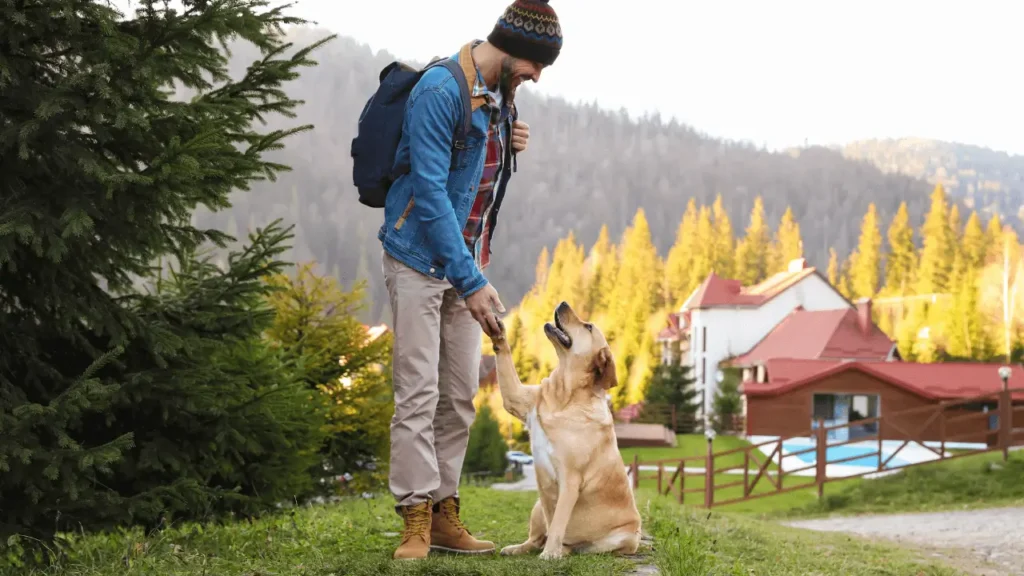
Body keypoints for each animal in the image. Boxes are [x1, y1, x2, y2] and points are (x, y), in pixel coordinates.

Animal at [487, 297, 638, 557]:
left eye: (588, 327)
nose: (564, 302)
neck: (564, 396)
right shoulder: (517, 398)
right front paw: (499, 331)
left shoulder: (570, 479)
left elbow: (558, 522)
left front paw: (550, 554)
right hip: (537, 505)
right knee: (536, 539)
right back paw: (519, 548)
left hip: (624, 537)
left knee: (576, 543)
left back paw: (564, 550)